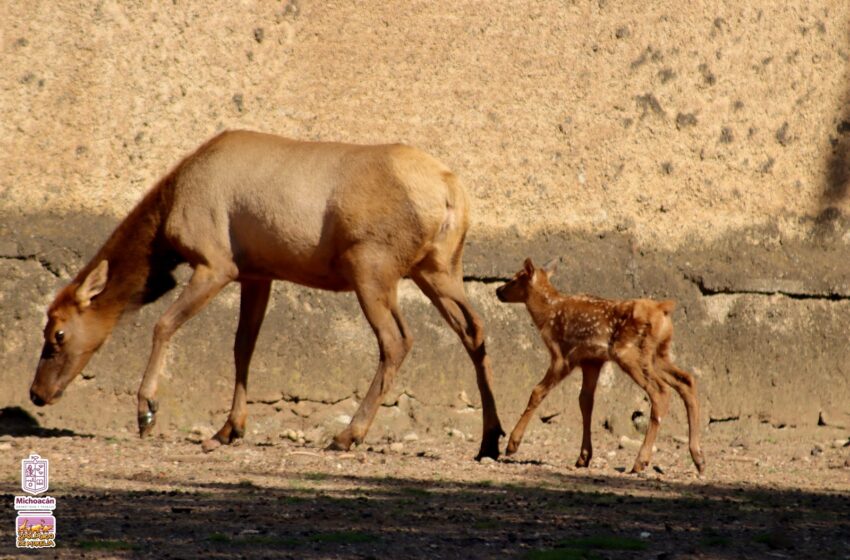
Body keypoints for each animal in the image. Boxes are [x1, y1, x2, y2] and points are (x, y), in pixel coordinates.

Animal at [29, 130, 505, 460]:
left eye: (57, 334)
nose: (36, 393)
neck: (164, 226)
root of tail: (453, 193)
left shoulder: (216, 262)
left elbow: (164, 324)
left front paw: (147, 411)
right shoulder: (258, 273)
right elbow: (243, 347)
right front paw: (228, 428)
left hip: (372, 265)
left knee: (398, 340)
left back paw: (347, 435)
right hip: (439, 267)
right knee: (475, 330)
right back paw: (490, 439)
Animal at [495, 258, 705, 474]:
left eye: (515, 278)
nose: (498, 290)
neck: (548, 314)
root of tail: (662, 309)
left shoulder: (563, 355)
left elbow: (538, 391)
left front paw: (512, 444)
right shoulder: (591, 361)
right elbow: (585, 401)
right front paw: (584, 457)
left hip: (629, 353)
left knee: (660, 391)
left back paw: (641, 461)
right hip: (659, 354)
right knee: (687, 380)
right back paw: (698, 458)